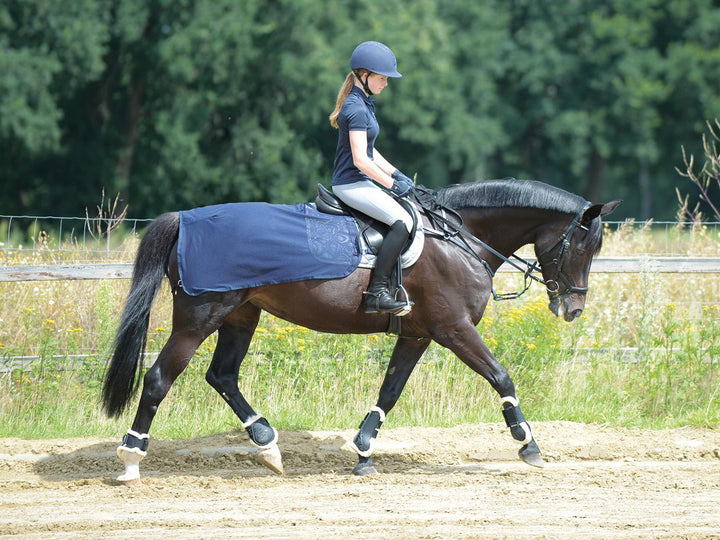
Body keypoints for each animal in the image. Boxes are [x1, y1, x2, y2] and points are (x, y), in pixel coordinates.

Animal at [100, 180, 620, 480]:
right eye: (583, 246)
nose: (573, 308)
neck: (461, 238)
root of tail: (184, 220)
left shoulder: (417, 334)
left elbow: (390, 390)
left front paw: (363, 450)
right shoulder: (453, 329)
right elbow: (501, 376)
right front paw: (527, 443)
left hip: (241, 315)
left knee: (222, 375)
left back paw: (268, 446)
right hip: (200, 318)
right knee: (159, 379)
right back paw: (131, 458)